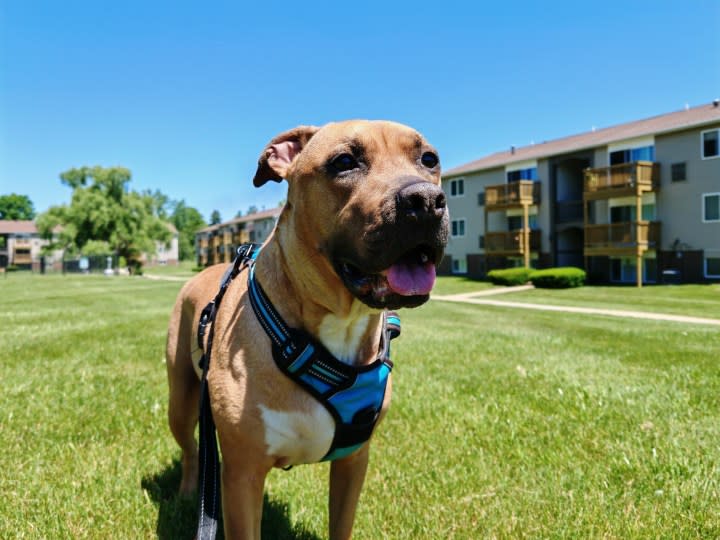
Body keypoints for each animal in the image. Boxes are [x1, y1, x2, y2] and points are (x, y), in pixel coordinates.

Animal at [168, 120, 448, 536]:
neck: (341, 324)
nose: (426, 200)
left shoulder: (353, 461)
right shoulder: (242, 474)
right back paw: (188, 492)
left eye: (429, 159)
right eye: (344, 161)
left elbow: (341, 524)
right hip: (181, 401)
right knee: (190, 450)